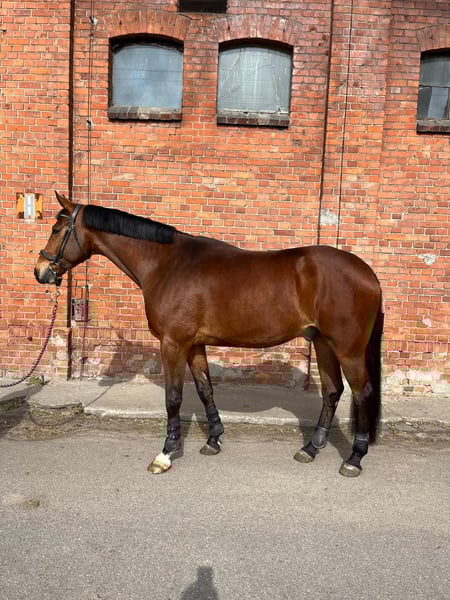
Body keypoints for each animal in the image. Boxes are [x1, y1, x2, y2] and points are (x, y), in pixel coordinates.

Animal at [35, 192, 383, 477]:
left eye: (56, 230)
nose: (40, 271)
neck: (167, 264)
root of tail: (368, 273)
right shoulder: (194, 344)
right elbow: (205, 390)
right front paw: (213, 439)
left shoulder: (173, 344)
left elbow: (173, 397)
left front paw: (165, 454)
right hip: (323, 343)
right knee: (332, 391)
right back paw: (310, 448)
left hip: (348, 349)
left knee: (362, 392)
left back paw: (354, 458)